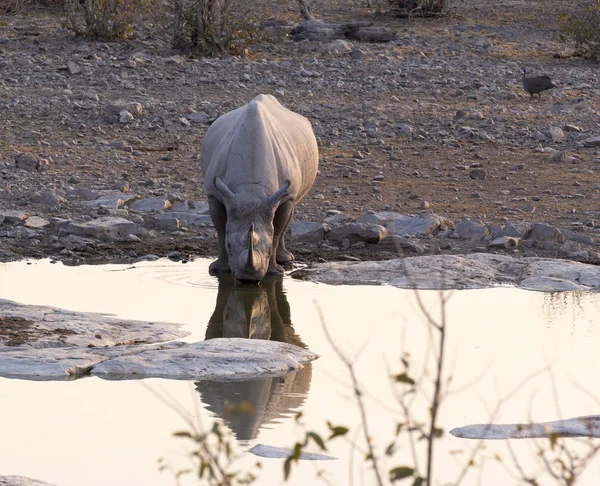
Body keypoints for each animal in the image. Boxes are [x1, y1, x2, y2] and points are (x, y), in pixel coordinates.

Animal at [200, 94, 318, 280]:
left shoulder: (284, 195)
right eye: (229, 245)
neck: (251, 189)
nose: (248, 279)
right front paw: (219, 270)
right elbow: (220, 229)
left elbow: (276, 231)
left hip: (291, 189)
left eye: (268, 249)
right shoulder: (214, 193)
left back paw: (285, 259)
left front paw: (274, 272)